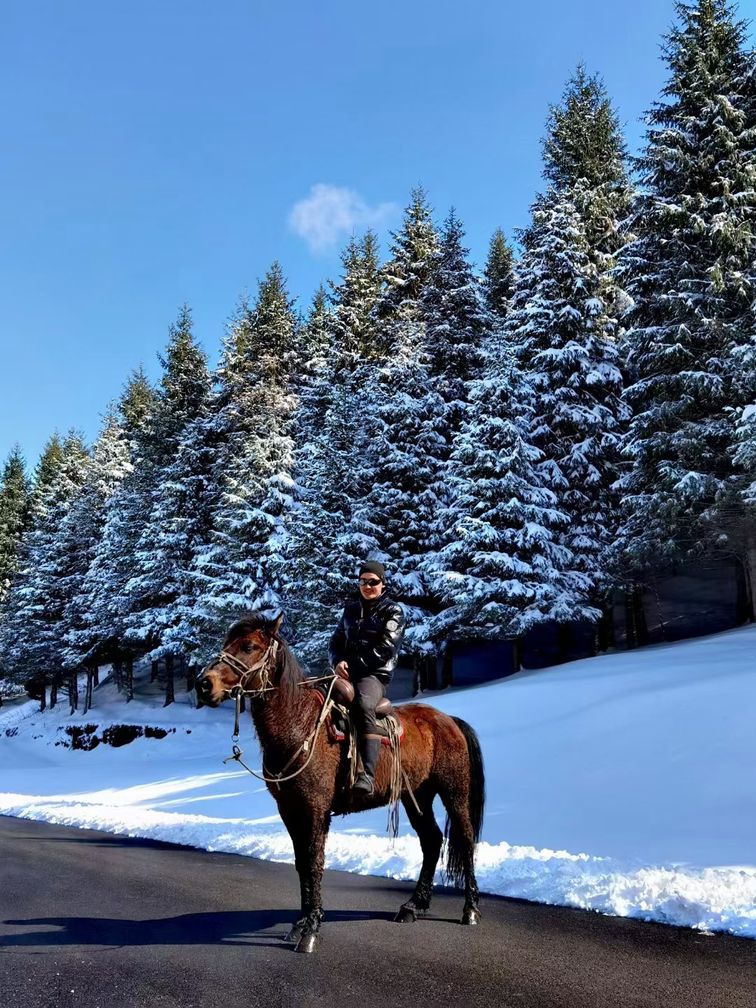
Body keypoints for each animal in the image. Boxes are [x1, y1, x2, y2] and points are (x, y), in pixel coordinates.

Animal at [196, 612, 485, 951]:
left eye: (250, 646)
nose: (204, 684)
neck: (300, 726)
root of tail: (449, 720)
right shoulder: (289, 810)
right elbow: (302, 863)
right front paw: (301, 923)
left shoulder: (316, 809)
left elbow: (314, 861)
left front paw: (310, 929)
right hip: (416, 796)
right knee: (432, 840)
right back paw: (413, 906)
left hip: (454, 792)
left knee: (465, 838)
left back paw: (470, 910)